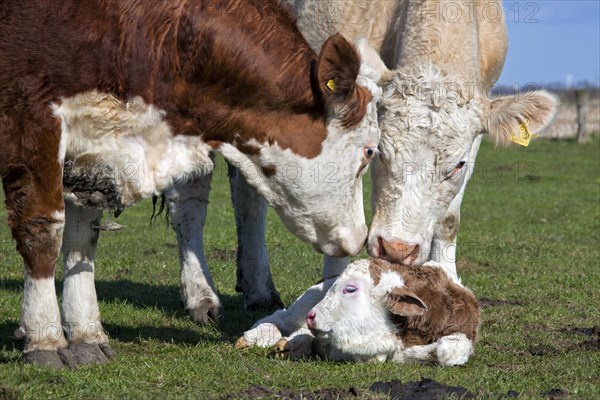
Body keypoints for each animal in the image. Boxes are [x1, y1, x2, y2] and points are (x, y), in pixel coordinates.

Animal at [0, 0, 382, 368]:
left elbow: (82, 238)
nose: (358, 238)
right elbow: (44, 229)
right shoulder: (31, 117)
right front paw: (45, 338)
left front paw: (86, 335)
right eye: (368, 151)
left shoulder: (92, 153)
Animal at [237, 260, 480, 366]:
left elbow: (450, 352)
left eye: (350, 289)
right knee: (280, 318)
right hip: (305, 300)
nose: (312, 316)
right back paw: (255, 338)